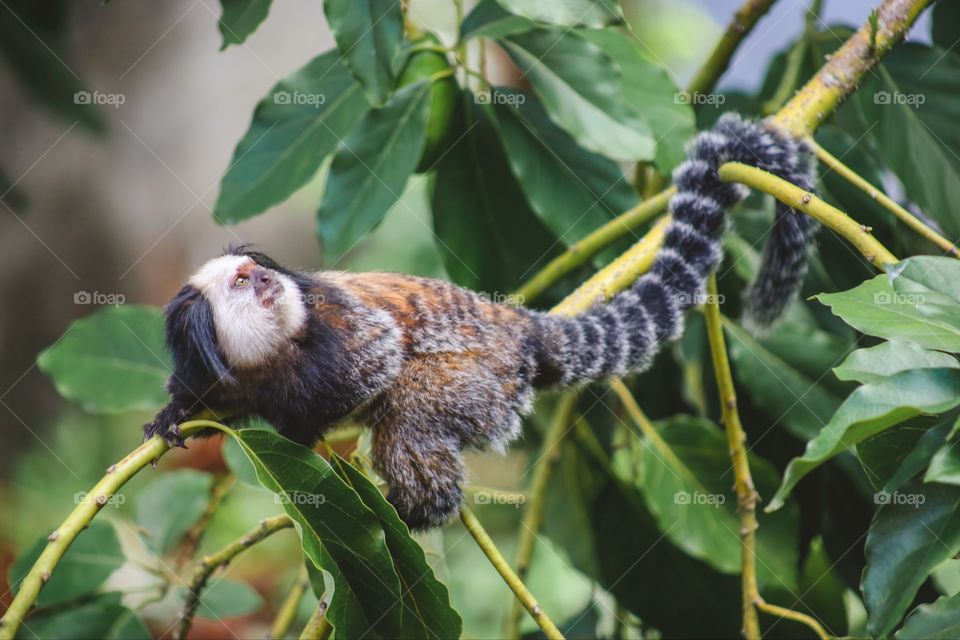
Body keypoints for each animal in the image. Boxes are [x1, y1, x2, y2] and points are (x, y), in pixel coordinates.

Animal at [144, 114, 818, 530]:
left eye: (257, 275)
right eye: (241, 283)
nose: (266, 283)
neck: (271, 357)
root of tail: (517, 328)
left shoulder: (334, 326)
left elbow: (377, 360)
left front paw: (300, 431)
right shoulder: (216, 370)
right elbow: (203, 401)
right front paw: (173, 416)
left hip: (480, 379)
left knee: (409, 419)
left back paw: (414, 513)